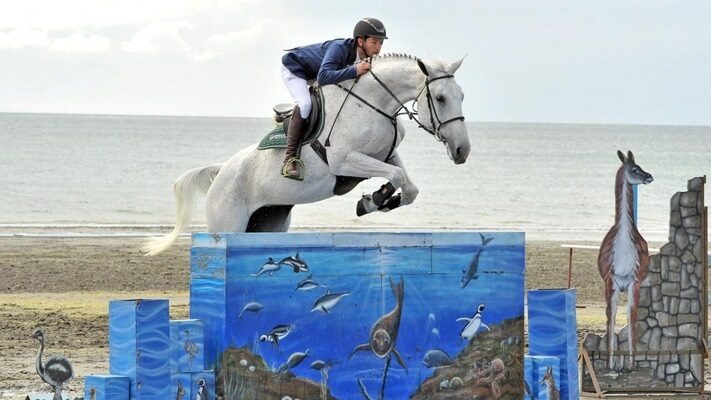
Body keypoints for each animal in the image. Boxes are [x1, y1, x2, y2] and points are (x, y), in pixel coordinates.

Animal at [142, 54, 470, 255]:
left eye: (462, 96)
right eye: (440, 98)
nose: (462, 151)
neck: (374, 103)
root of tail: (221, 172)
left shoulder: (385, 156)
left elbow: (407, 184)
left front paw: (377, 199)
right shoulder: (344, 160)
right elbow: (397, 175)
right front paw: (373, 200)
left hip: (268, 224)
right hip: (228, 224)